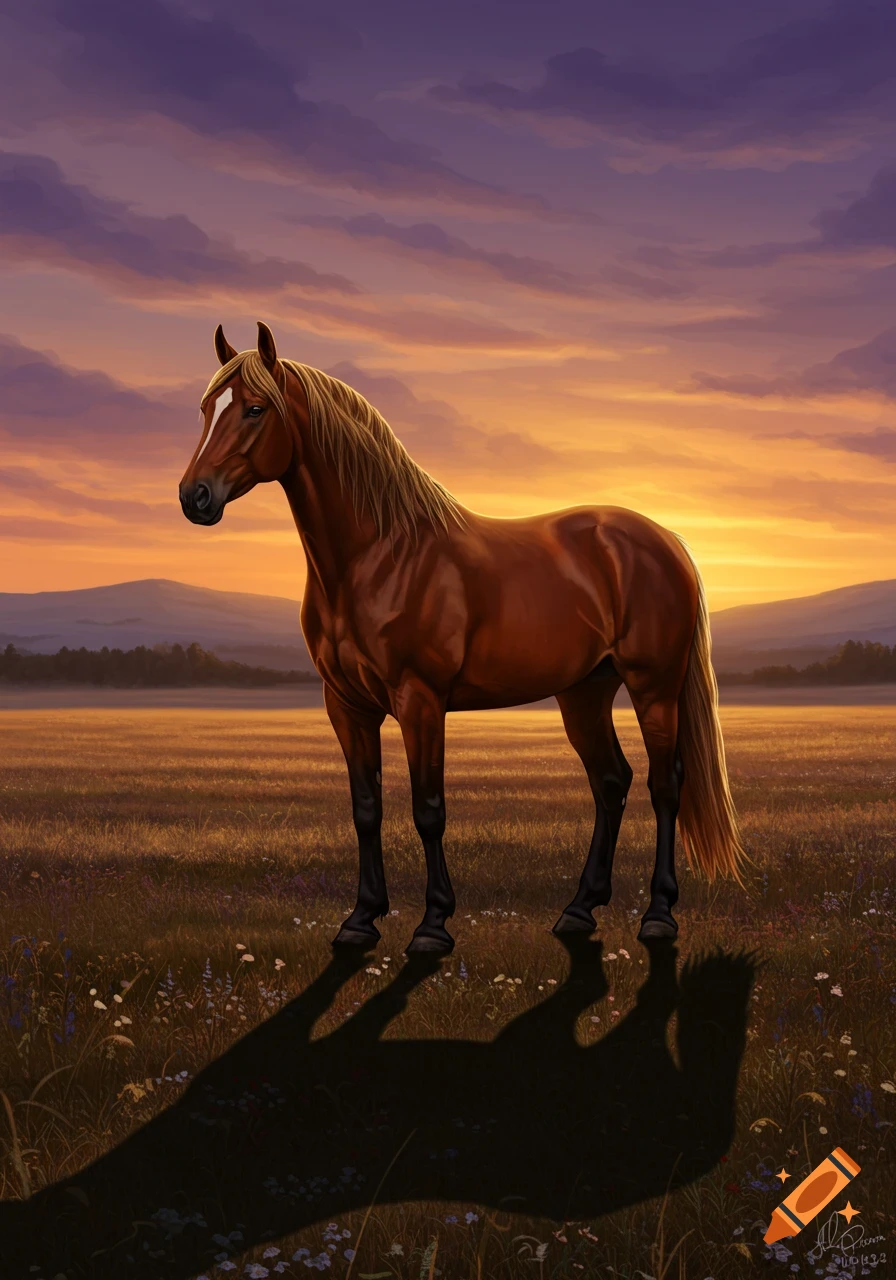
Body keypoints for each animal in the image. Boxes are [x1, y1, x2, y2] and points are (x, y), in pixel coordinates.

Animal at [179, 321, 746, 954]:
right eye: (206, 409)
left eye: (254, 408)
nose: (195, 497)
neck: (378, 555)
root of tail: (667, 540)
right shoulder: (346, 705)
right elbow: (366, 808)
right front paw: (361, 919)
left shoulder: (421, 701)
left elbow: (428, 809)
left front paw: (433, 925)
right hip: (584, 691)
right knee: (610, 781)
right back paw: (579, 910)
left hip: (654, 688)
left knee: (663, 784)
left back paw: (659, 915)